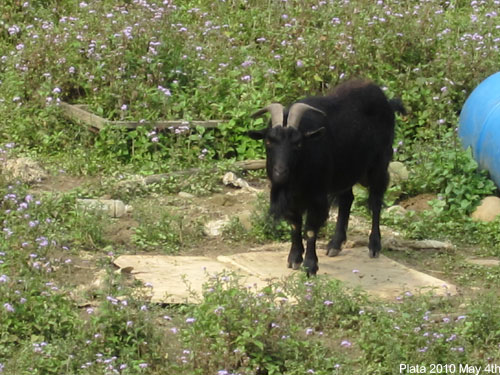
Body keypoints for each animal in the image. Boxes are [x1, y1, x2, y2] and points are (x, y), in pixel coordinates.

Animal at [248, 79, 404, 274]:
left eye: (298, 143)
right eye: (269, 141)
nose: (280, 172)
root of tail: (387, 101)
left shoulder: (317, 195)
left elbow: (310, 229)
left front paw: (310, 265)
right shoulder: (293, 199)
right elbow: (295, 224)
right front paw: (294, 258)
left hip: (378, 164)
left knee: (376, 201)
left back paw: (374, 246)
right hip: (345, 172)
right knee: (347, 199)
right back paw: (335, 244)